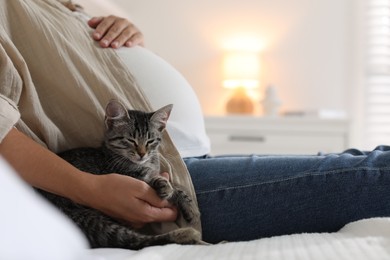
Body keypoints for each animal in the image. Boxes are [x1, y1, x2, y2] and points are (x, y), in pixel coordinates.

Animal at [37, 98, 203, 249]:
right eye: (131, 140)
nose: (142, 154)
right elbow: (161, 181)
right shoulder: (131, 176)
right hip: (90, 219)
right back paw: (187, 236)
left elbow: (176, 186)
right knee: (134, 241)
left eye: (150, 141)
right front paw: (168, 188)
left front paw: (190, 206)